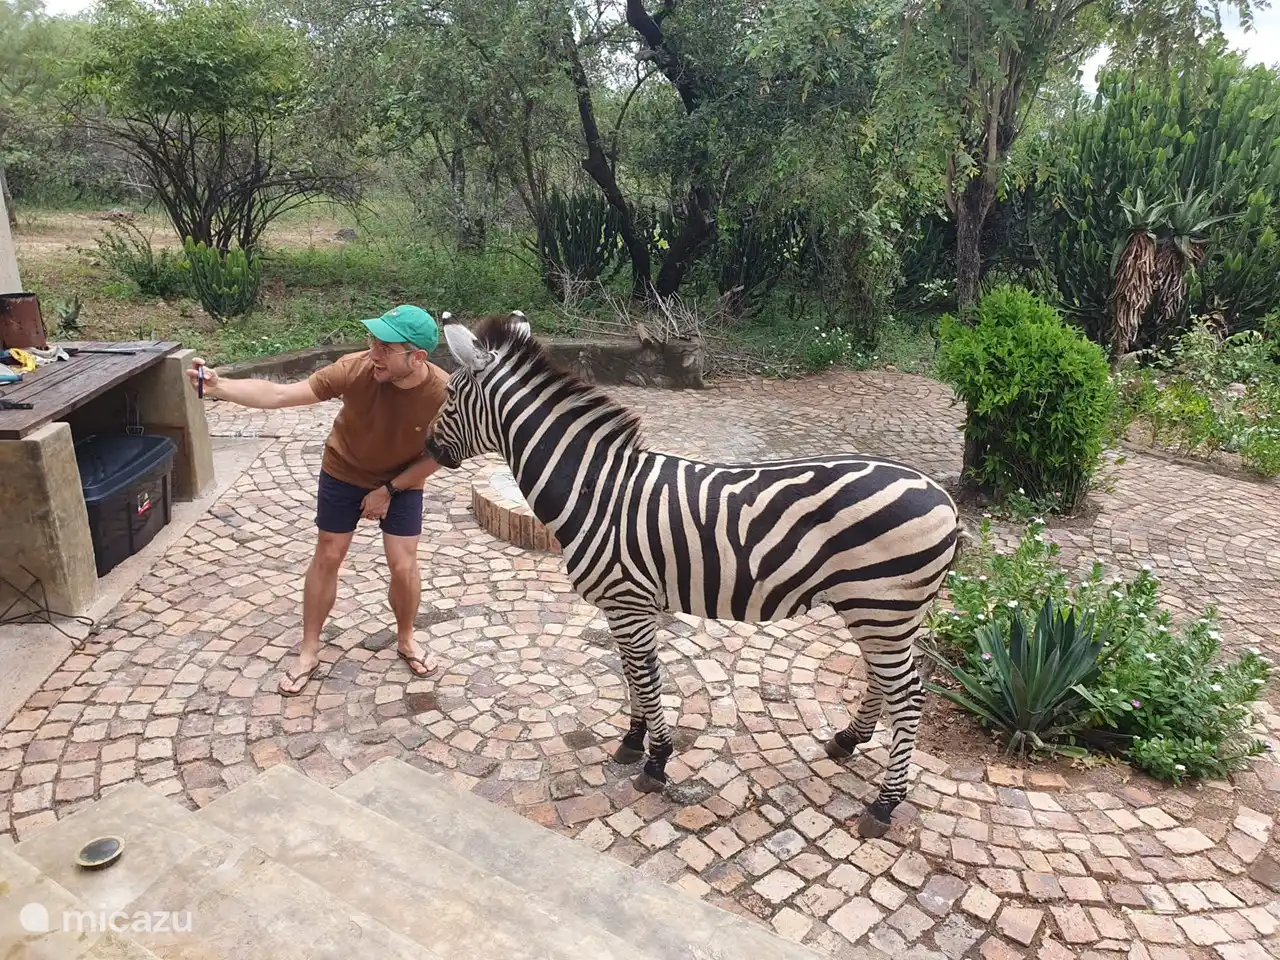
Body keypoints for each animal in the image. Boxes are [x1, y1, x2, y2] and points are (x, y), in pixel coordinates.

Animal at [425, 311, 962, 838]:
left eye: (449, 396)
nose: (427, 447)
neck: (594, 491)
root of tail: (944, 498)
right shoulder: (626, 605)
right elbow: (631, 673)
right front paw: (633, 741)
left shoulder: (629, 600)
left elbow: (644, 677)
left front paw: (656, 760)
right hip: (878, 611)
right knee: (881, 682)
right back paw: (848, 740)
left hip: (882, 607)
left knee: (908, 696)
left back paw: (884, 806)